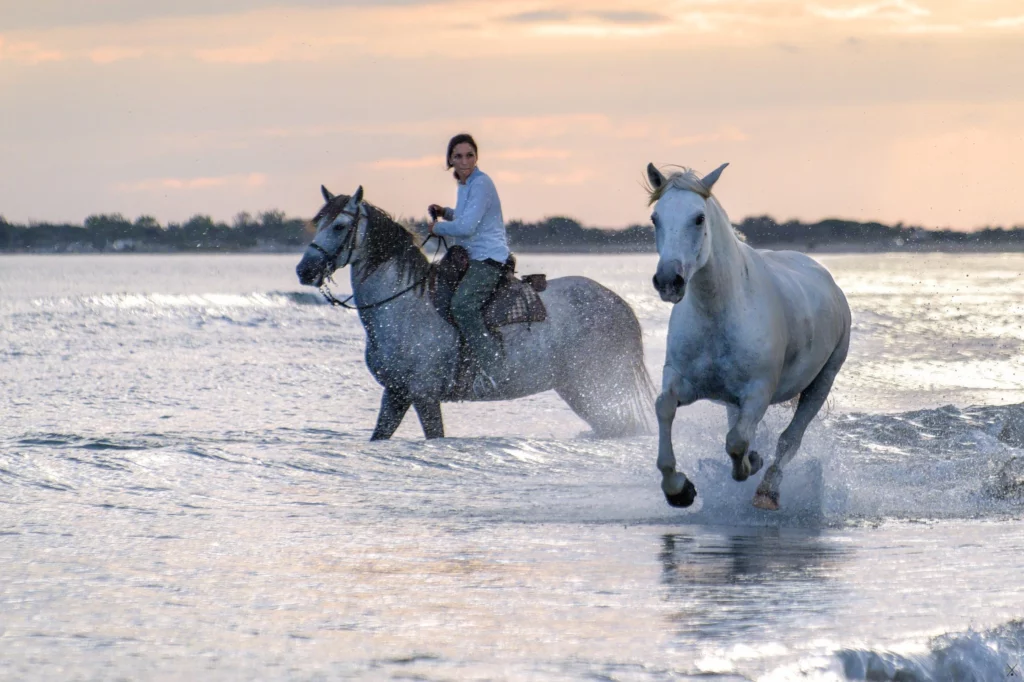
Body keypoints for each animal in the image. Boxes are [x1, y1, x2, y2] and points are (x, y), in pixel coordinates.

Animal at [295, 185, 654, 440]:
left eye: (340, 225)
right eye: (318, 223)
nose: (304, 270)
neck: (402, 304)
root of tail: (618, 305)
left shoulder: (424, 395)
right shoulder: (396, 393)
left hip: (596, 387)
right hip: (579, 391)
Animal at [645, 163, 851, 511]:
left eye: (698, 218)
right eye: (655, 217)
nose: (668, 281)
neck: (719, 314)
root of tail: (828, 280)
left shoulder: (758, 392)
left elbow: (737, 442)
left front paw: (751, 463)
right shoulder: (683, 381)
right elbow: (664, 408)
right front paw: (678, 489)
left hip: (822, 382)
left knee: (789, 440)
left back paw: (767, 492)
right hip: (733, 400)